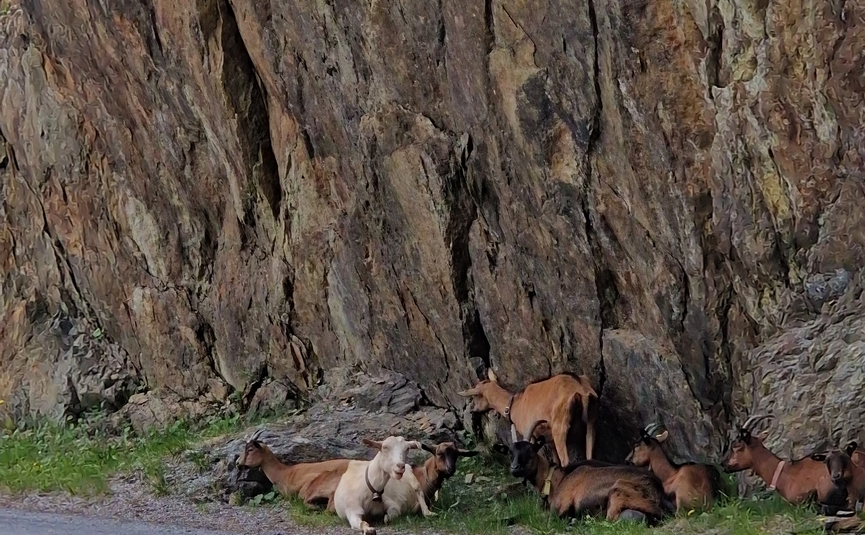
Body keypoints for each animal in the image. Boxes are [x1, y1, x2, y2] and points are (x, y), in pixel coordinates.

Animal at [458, 369, 598, 466]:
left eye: (476, 396)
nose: (473, 409)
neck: (515, 404)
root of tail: (579, 390)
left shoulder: (530, 434)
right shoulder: (548, 437)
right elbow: (555, 459)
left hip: (560, 427)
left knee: (566, 461)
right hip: (590, 423)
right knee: (590, 456)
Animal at [509, 420, 667, 524]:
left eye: (530, 450)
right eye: (511, 452)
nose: (514, 468)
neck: (556, 479)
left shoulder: (559, 508)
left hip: (617, 492)